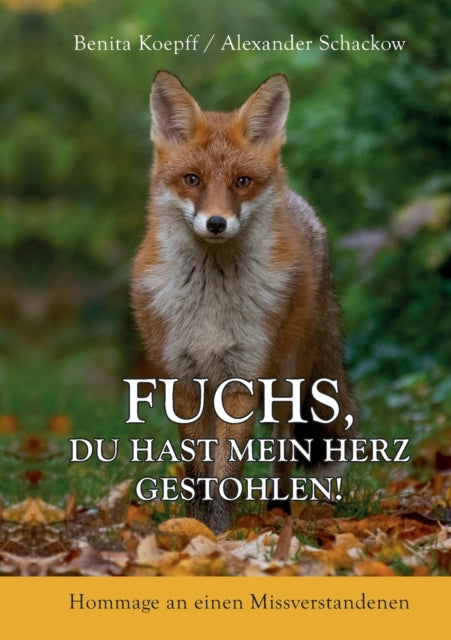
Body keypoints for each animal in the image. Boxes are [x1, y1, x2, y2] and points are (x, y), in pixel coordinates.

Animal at [131, 71, 357, 533]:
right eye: (192, 179)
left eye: (241, 182)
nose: (216, 223)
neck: (210, 305)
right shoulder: (185, 380)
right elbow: (197, 473)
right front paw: (195, 528)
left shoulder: (241, 379)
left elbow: (227, 474)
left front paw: (220, 534)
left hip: (287, 381)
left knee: (283, 449)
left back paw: (278, 510)